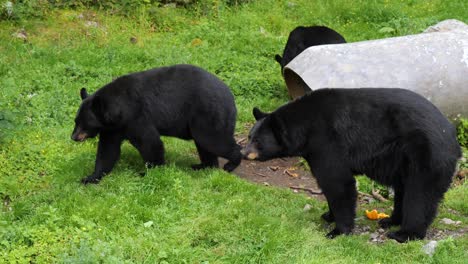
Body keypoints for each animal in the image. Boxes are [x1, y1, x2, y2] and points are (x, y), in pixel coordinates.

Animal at [243, 88, 462, 243]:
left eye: (258, 141)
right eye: (249, 136)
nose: (244, 153)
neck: (305, 127)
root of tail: (452, 136)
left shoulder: (327, 142)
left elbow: (337, 182)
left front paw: (337, 231)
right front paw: (328, 215)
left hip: (426, 155)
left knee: (419, 194)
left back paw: (405, 233)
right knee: (404, 189)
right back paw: (389, 220)